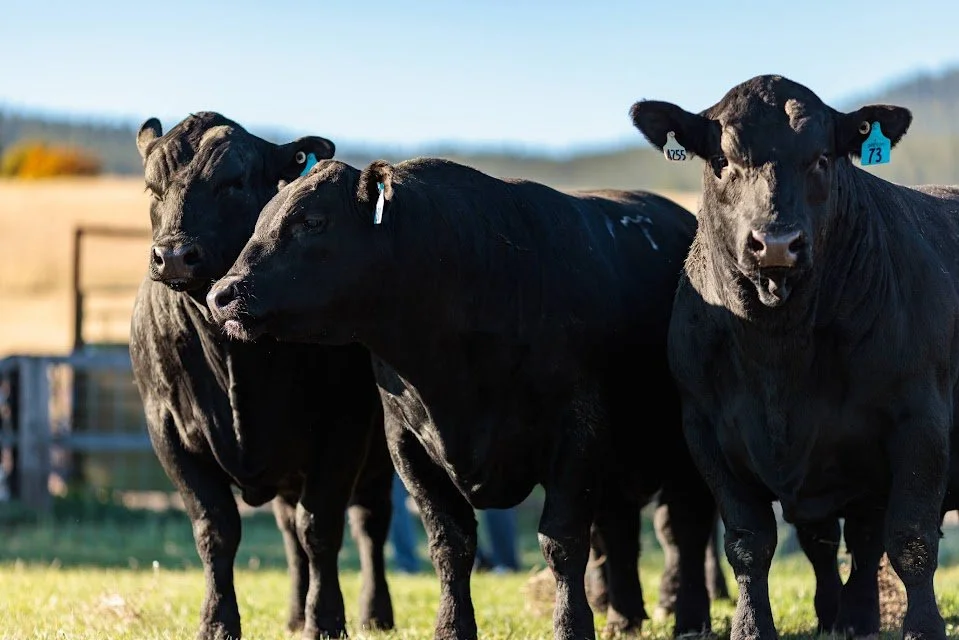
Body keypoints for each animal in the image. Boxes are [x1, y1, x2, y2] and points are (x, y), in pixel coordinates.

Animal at [128, 112, 395, 640]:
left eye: (232, 182)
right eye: (152, 187)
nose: (173, 255)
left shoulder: (345, 427)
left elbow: (322, 529)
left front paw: (326, 621)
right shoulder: (168, 431)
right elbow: (216, 530)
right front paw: (217, 621)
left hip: (378, 460)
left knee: (369, 524)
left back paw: (375, 613)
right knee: (290, 533)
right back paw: (293, 614)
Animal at [204, 155, 723, 639]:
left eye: (312, 221)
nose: (222, 293)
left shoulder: (577, 434)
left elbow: (562, 541)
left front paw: (572, 627)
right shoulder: (408, 444)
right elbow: (450, 545)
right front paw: (453, 626)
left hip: (681, 455)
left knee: (684, 529)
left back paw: (689, 617)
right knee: (619, 530)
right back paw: (624, 618)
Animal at [630, 74, 959, 640]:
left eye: (823, 158)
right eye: (722, 160)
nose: (777, 243)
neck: (779, 356)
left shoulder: (921, 421)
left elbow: (911, 539)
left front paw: (922, 627)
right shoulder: (704, 429)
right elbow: (749, 541)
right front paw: (752, 627)